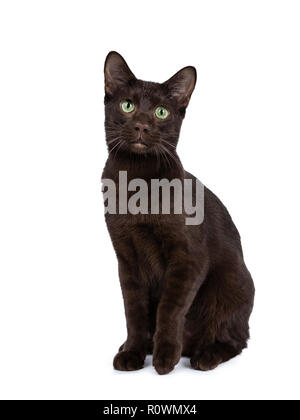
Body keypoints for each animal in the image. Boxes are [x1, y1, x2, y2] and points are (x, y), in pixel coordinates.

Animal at [102, 50, 254, 376]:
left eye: (161, 112)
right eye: (127, 105)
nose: (142, 126)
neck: (136, 182)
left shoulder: (188, 258)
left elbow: (170, 308)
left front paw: (165, 357)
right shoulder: (126, 257)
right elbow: (134, 311)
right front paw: (133, 352)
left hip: (230, 284)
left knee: (235, 338)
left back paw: (205, 355)